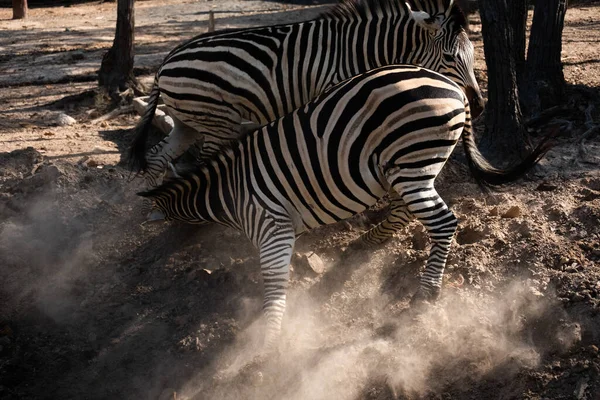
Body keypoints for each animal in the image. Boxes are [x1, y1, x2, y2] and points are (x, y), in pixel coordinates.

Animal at [129, 0, 486, 188]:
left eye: (472, 55)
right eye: (450, 57)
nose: (479, 106)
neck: (357, 51)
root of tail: (164, 64)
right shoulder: (336, 95)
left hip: (188, 121)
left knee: (157, 157)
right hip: (216, 122)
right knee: (200, 162)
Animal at [138, 64, 552, 348]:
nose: (164, 248)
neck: (226, 192)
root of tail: (452, 87)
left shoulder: (270, 225)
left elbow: (273, 279)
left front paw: (270, 335)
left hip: (410, 161)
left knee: (443, 222)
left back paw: (427, 290)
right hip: (404, 167)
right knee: (407, 210)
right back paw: (367, 241)